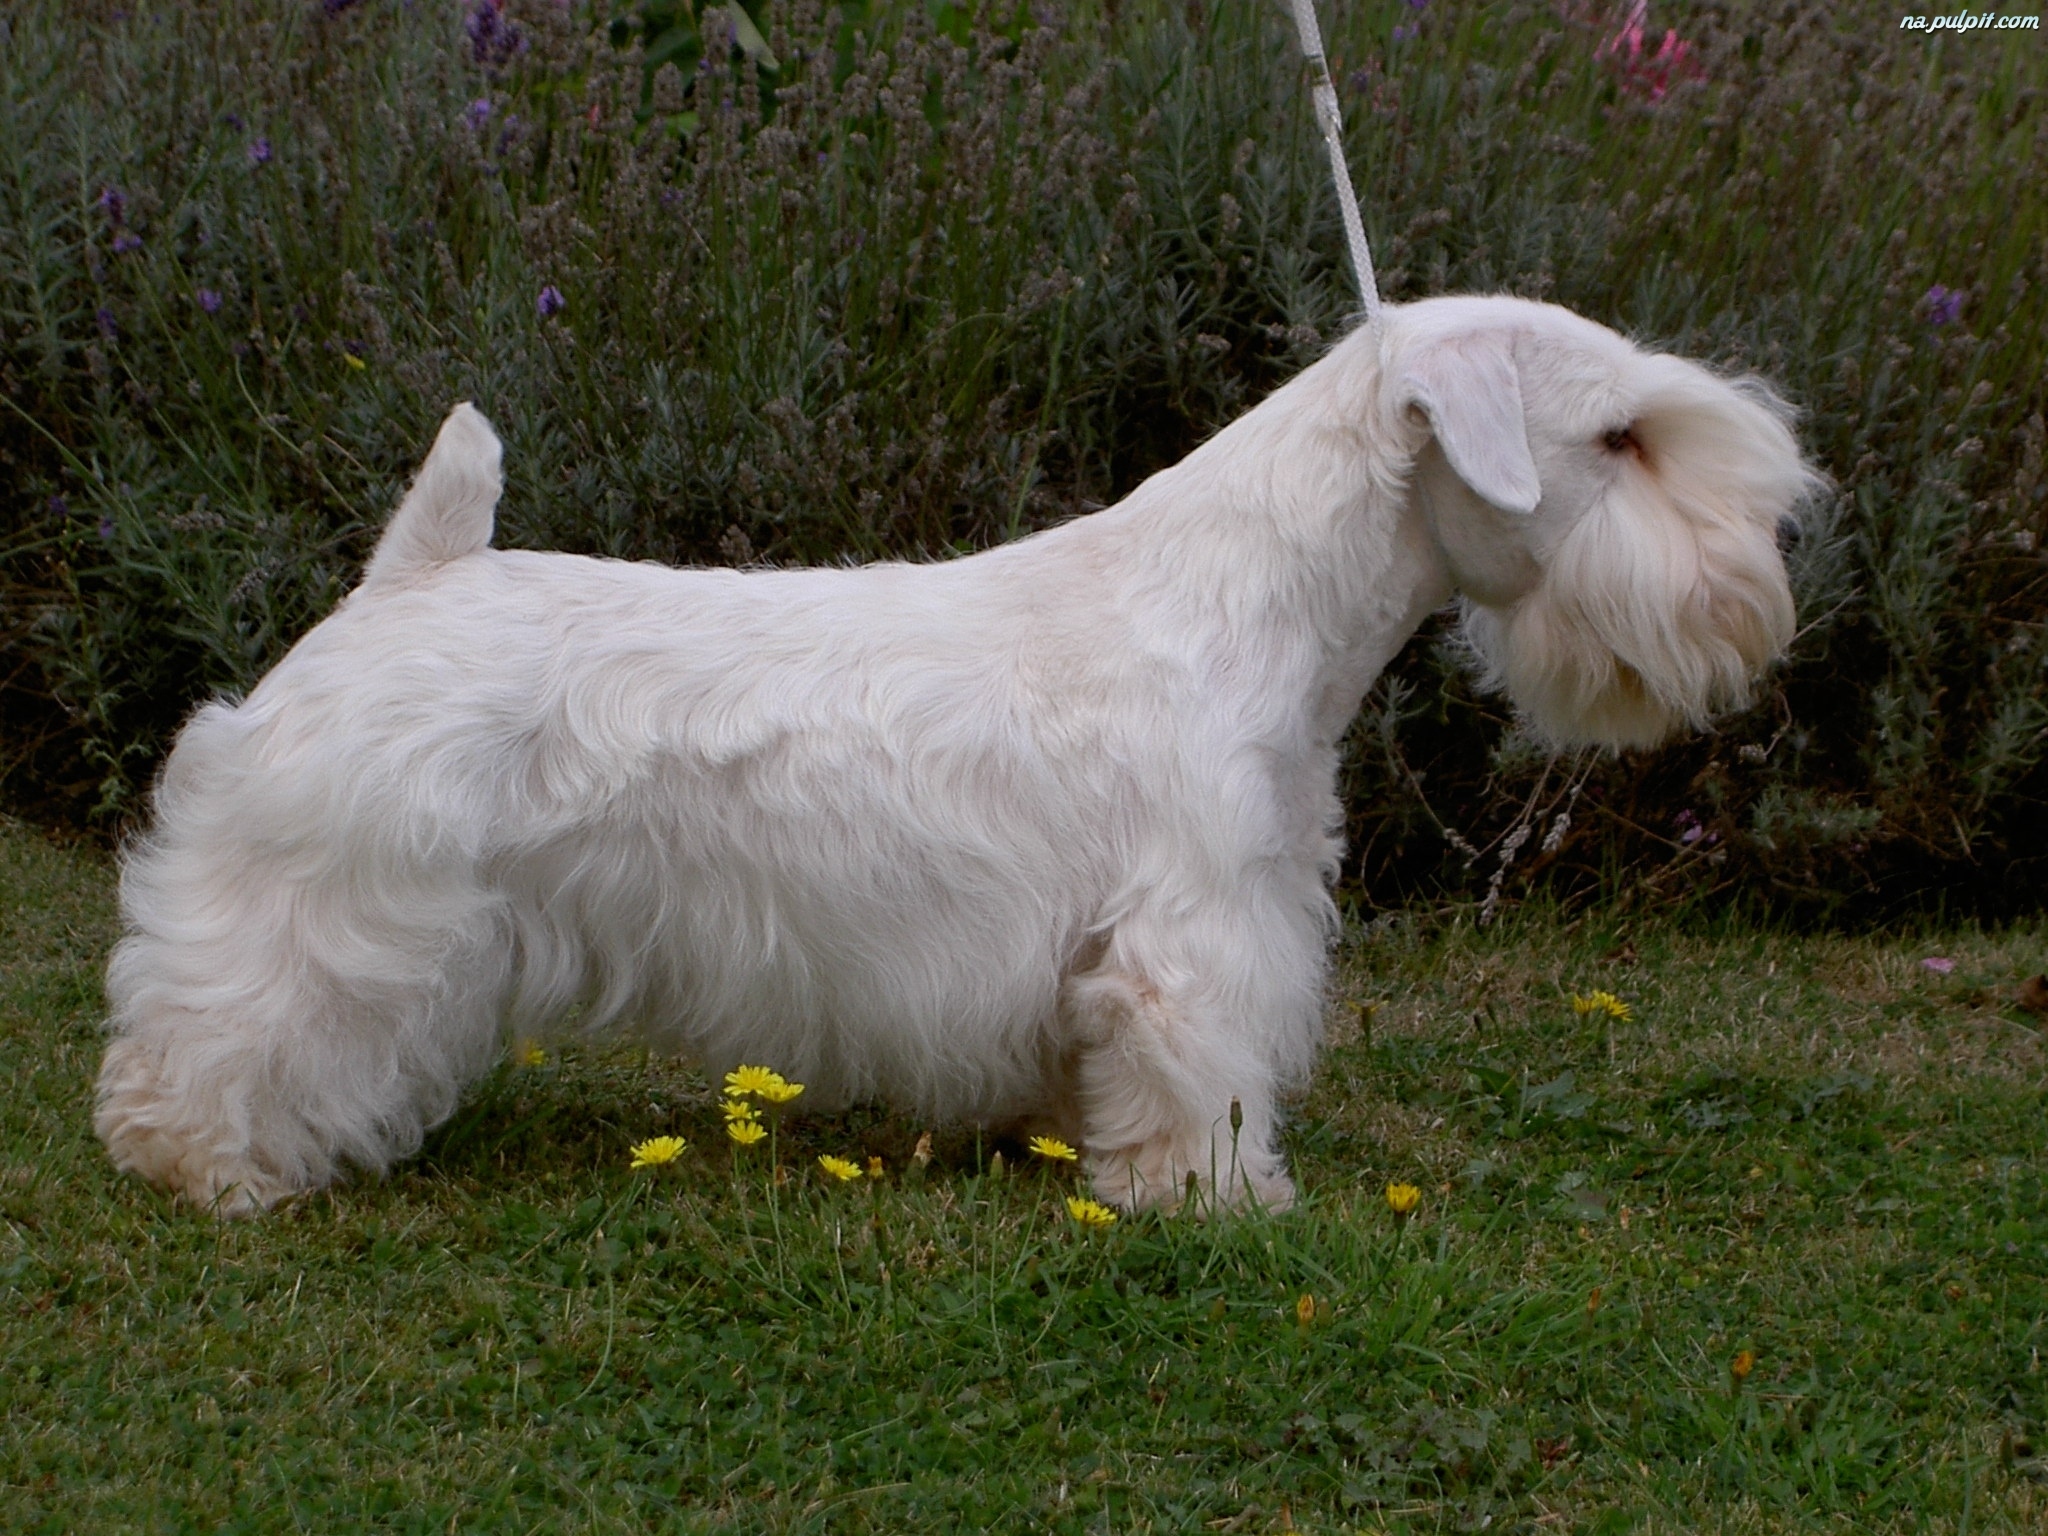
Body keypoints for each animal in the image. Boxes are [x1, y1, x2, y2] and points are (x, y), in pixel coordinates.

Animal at [99, 296, 1826, 1212]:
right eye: (1621, 438)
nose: (1760, 586)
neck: (1248, 598)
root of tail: (412, 574)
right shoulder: (1200, 930)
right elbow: (1204, 1067)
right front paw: (1217, 1202)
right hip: (340, 902)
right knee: (228, 1028)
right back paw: (201, 1163)